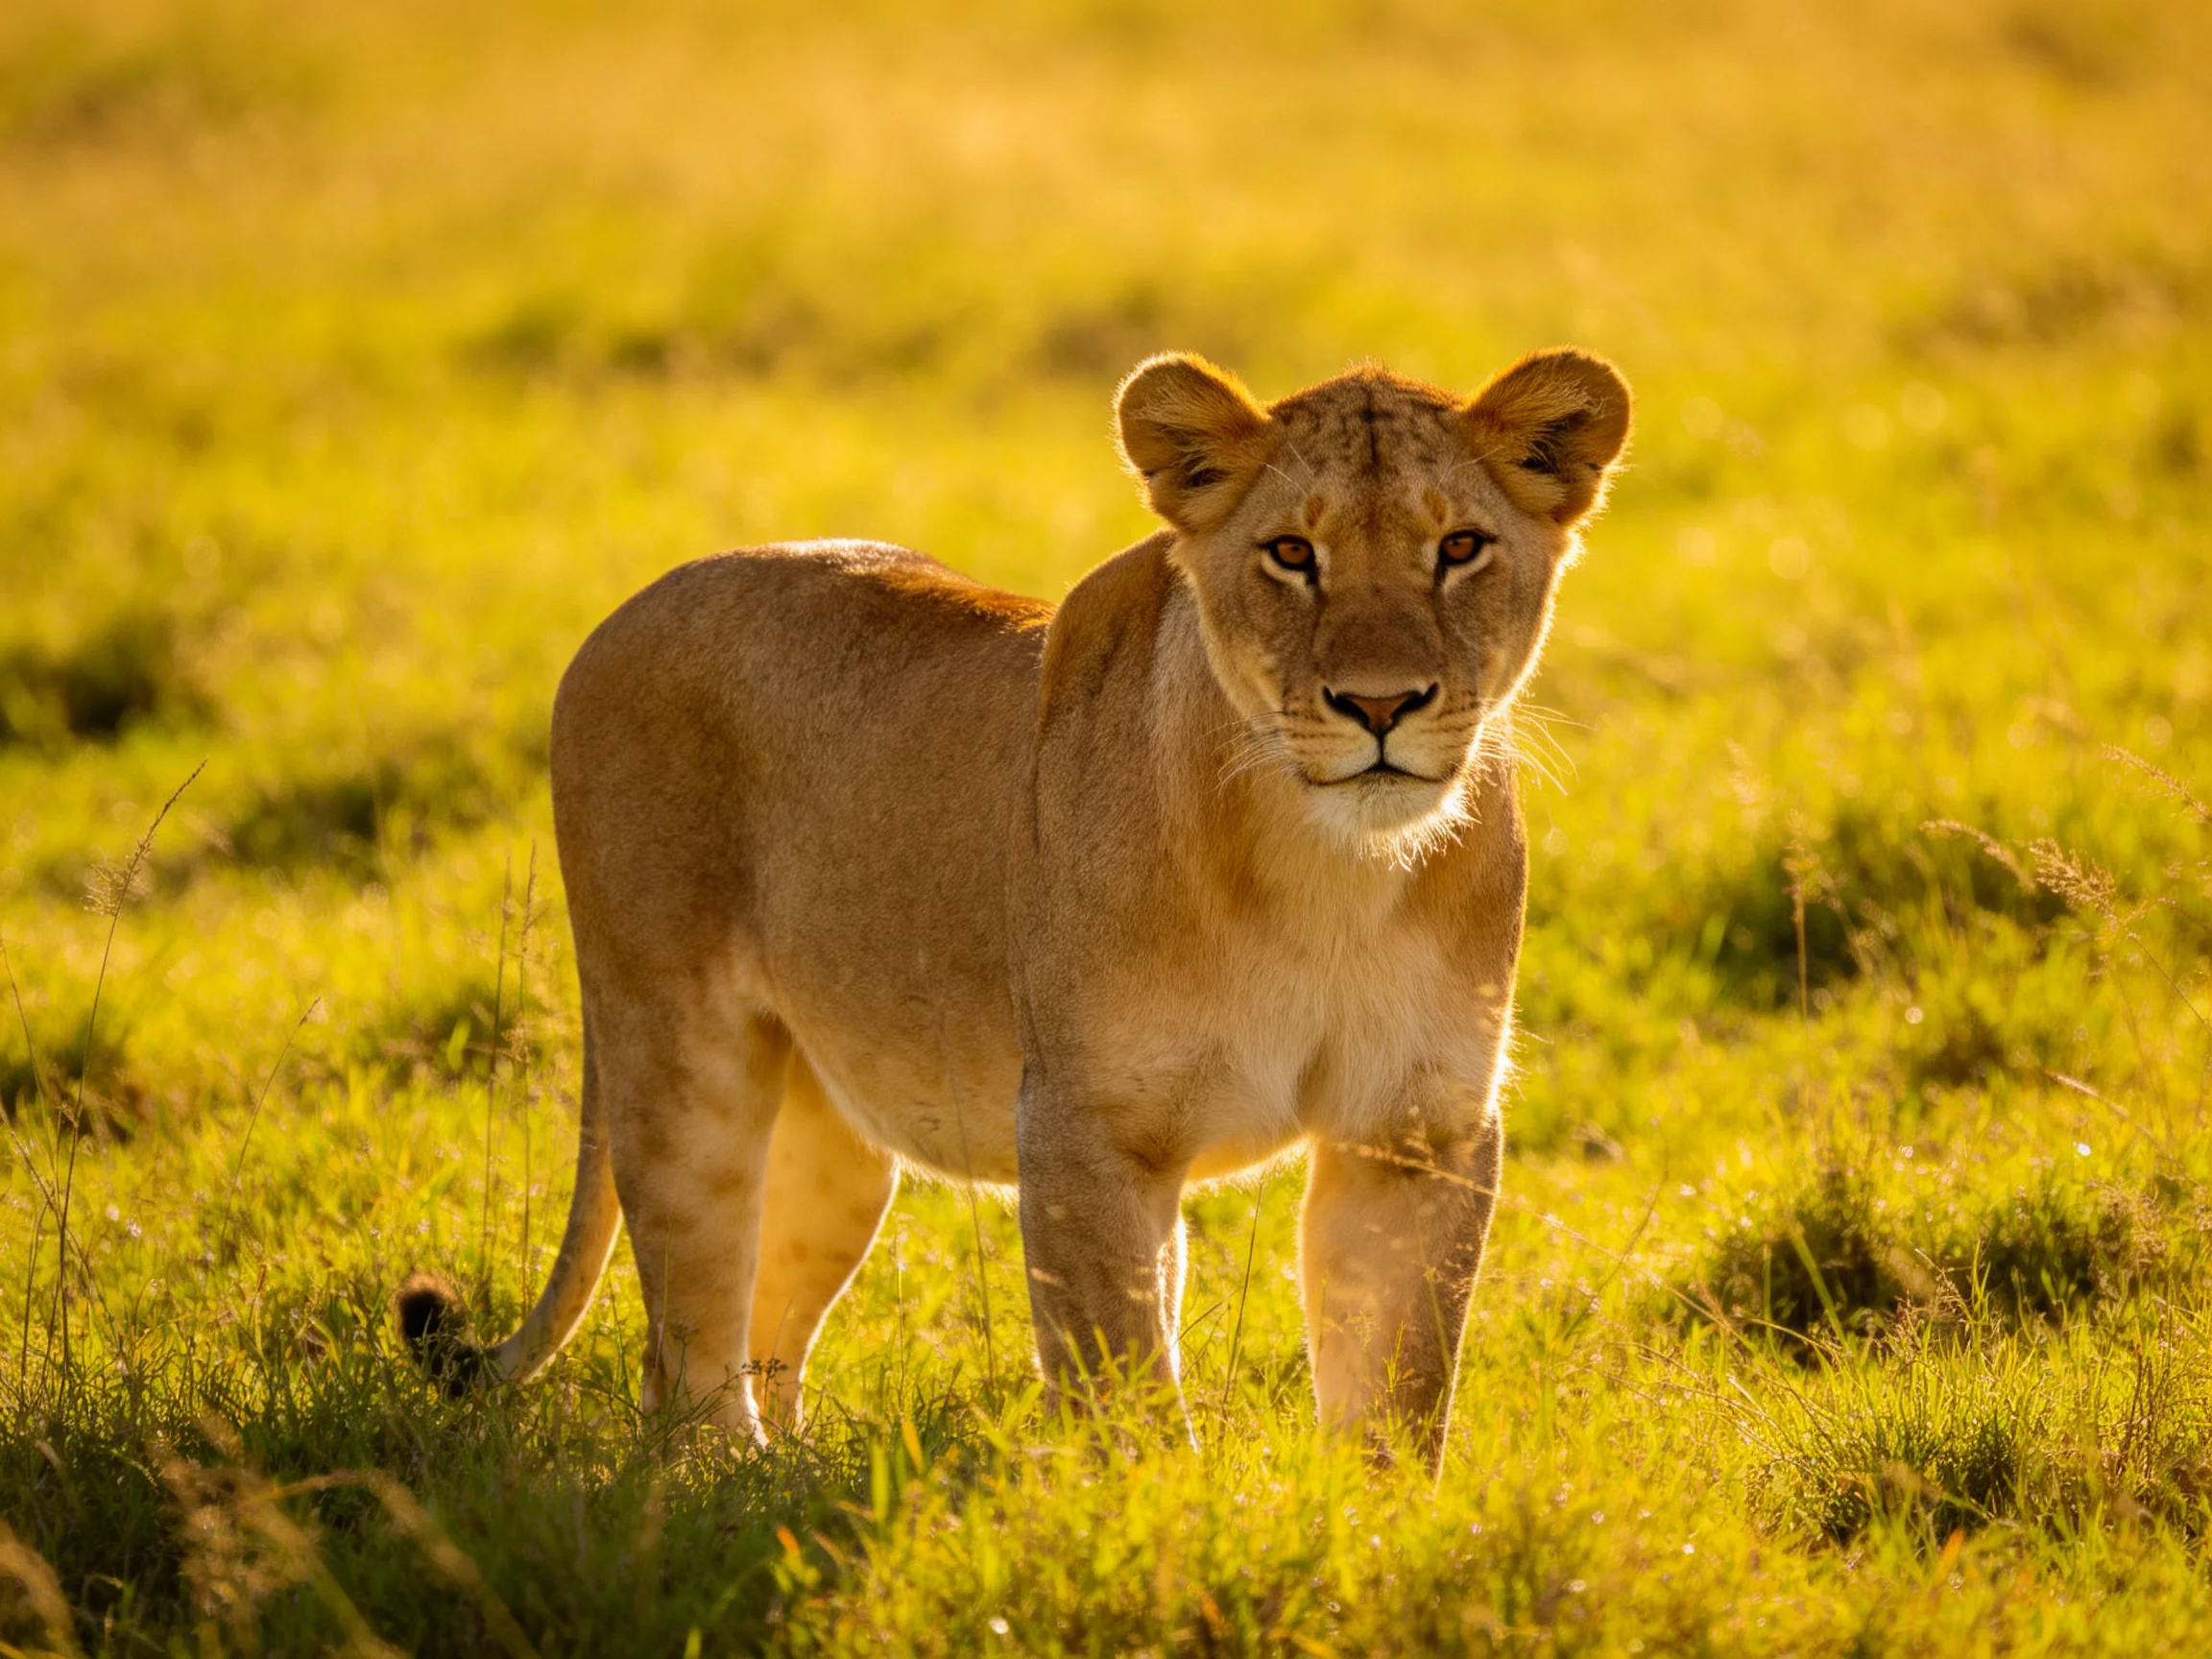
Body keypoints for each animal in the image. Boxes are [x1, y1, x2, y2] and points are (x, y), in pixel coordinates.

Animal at [400, 347, 1631, 1474]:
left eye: (1459, 547)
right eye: (1292, 553)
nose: (1380, 706)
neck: (1328, 870)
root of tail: (628, 607)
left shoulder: (1414, 1126)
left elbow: (1401, 1384)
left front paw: (1370, 1528)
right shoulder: (1086, 1126)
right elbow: (1128, 1388)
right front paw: (1165, 1528)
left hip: (833, 1140)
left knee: (752, 1330)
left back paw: (790, 1483)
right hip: (679, 1058)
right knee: (689, 1334)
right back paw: (730, 1482)